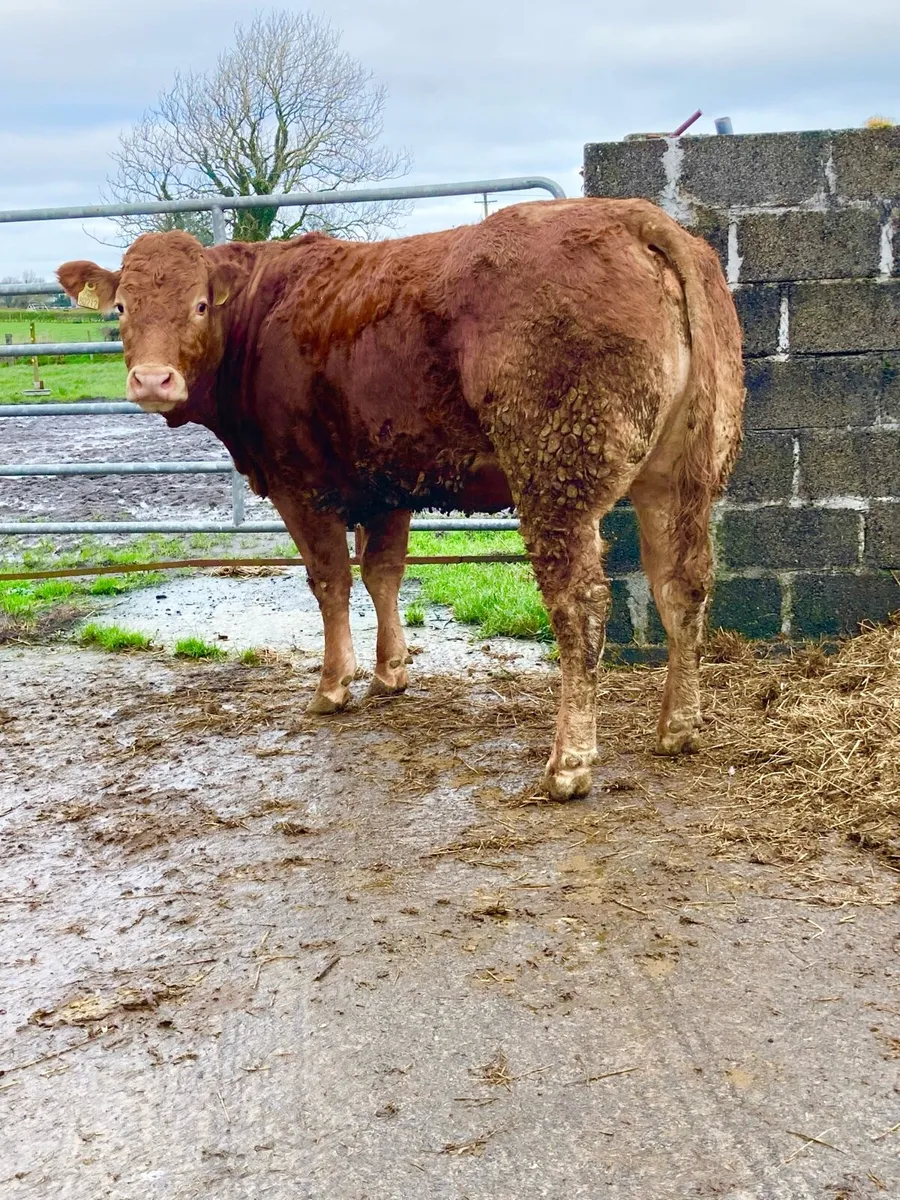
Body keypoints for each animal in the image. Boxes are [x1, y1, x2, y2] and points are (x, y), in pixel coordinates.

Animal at [57, 198, 744, 800]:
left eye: (199, 305)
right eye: (122, 307)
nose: (152, 380)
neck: (263, 311)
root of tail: (633, 215)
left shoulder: (299, 483)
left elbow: (331, 580)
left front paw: (333, 685)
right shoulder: (387, 478)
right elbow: (383, 572)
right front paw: (391, 672)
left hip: (557, 474)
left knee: (581, 608)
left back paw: (568, 764)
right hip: (683, 473)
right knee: (683, 584)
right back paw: (678, 728)